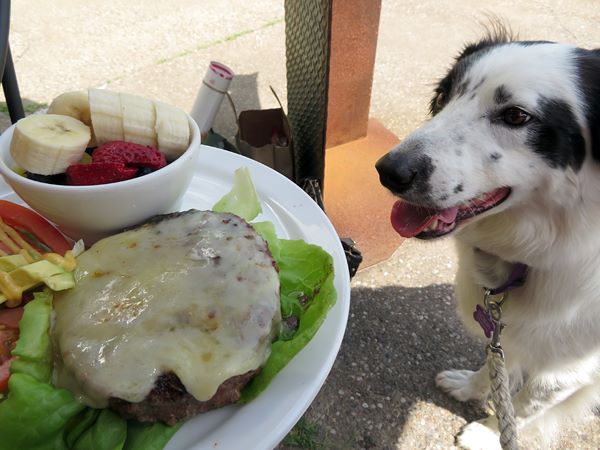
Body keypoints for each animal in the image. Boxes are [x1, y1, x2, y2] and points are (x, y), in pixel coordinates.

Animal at [378, 29, 596, 448]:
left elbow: (525, 406)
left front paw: (489, 433)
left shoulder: (570, 371)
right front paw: (470, 387)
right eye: (443, 96)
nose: (388, 171)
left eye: (516, 116)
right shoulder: (505, 329)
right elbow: (496, 361)